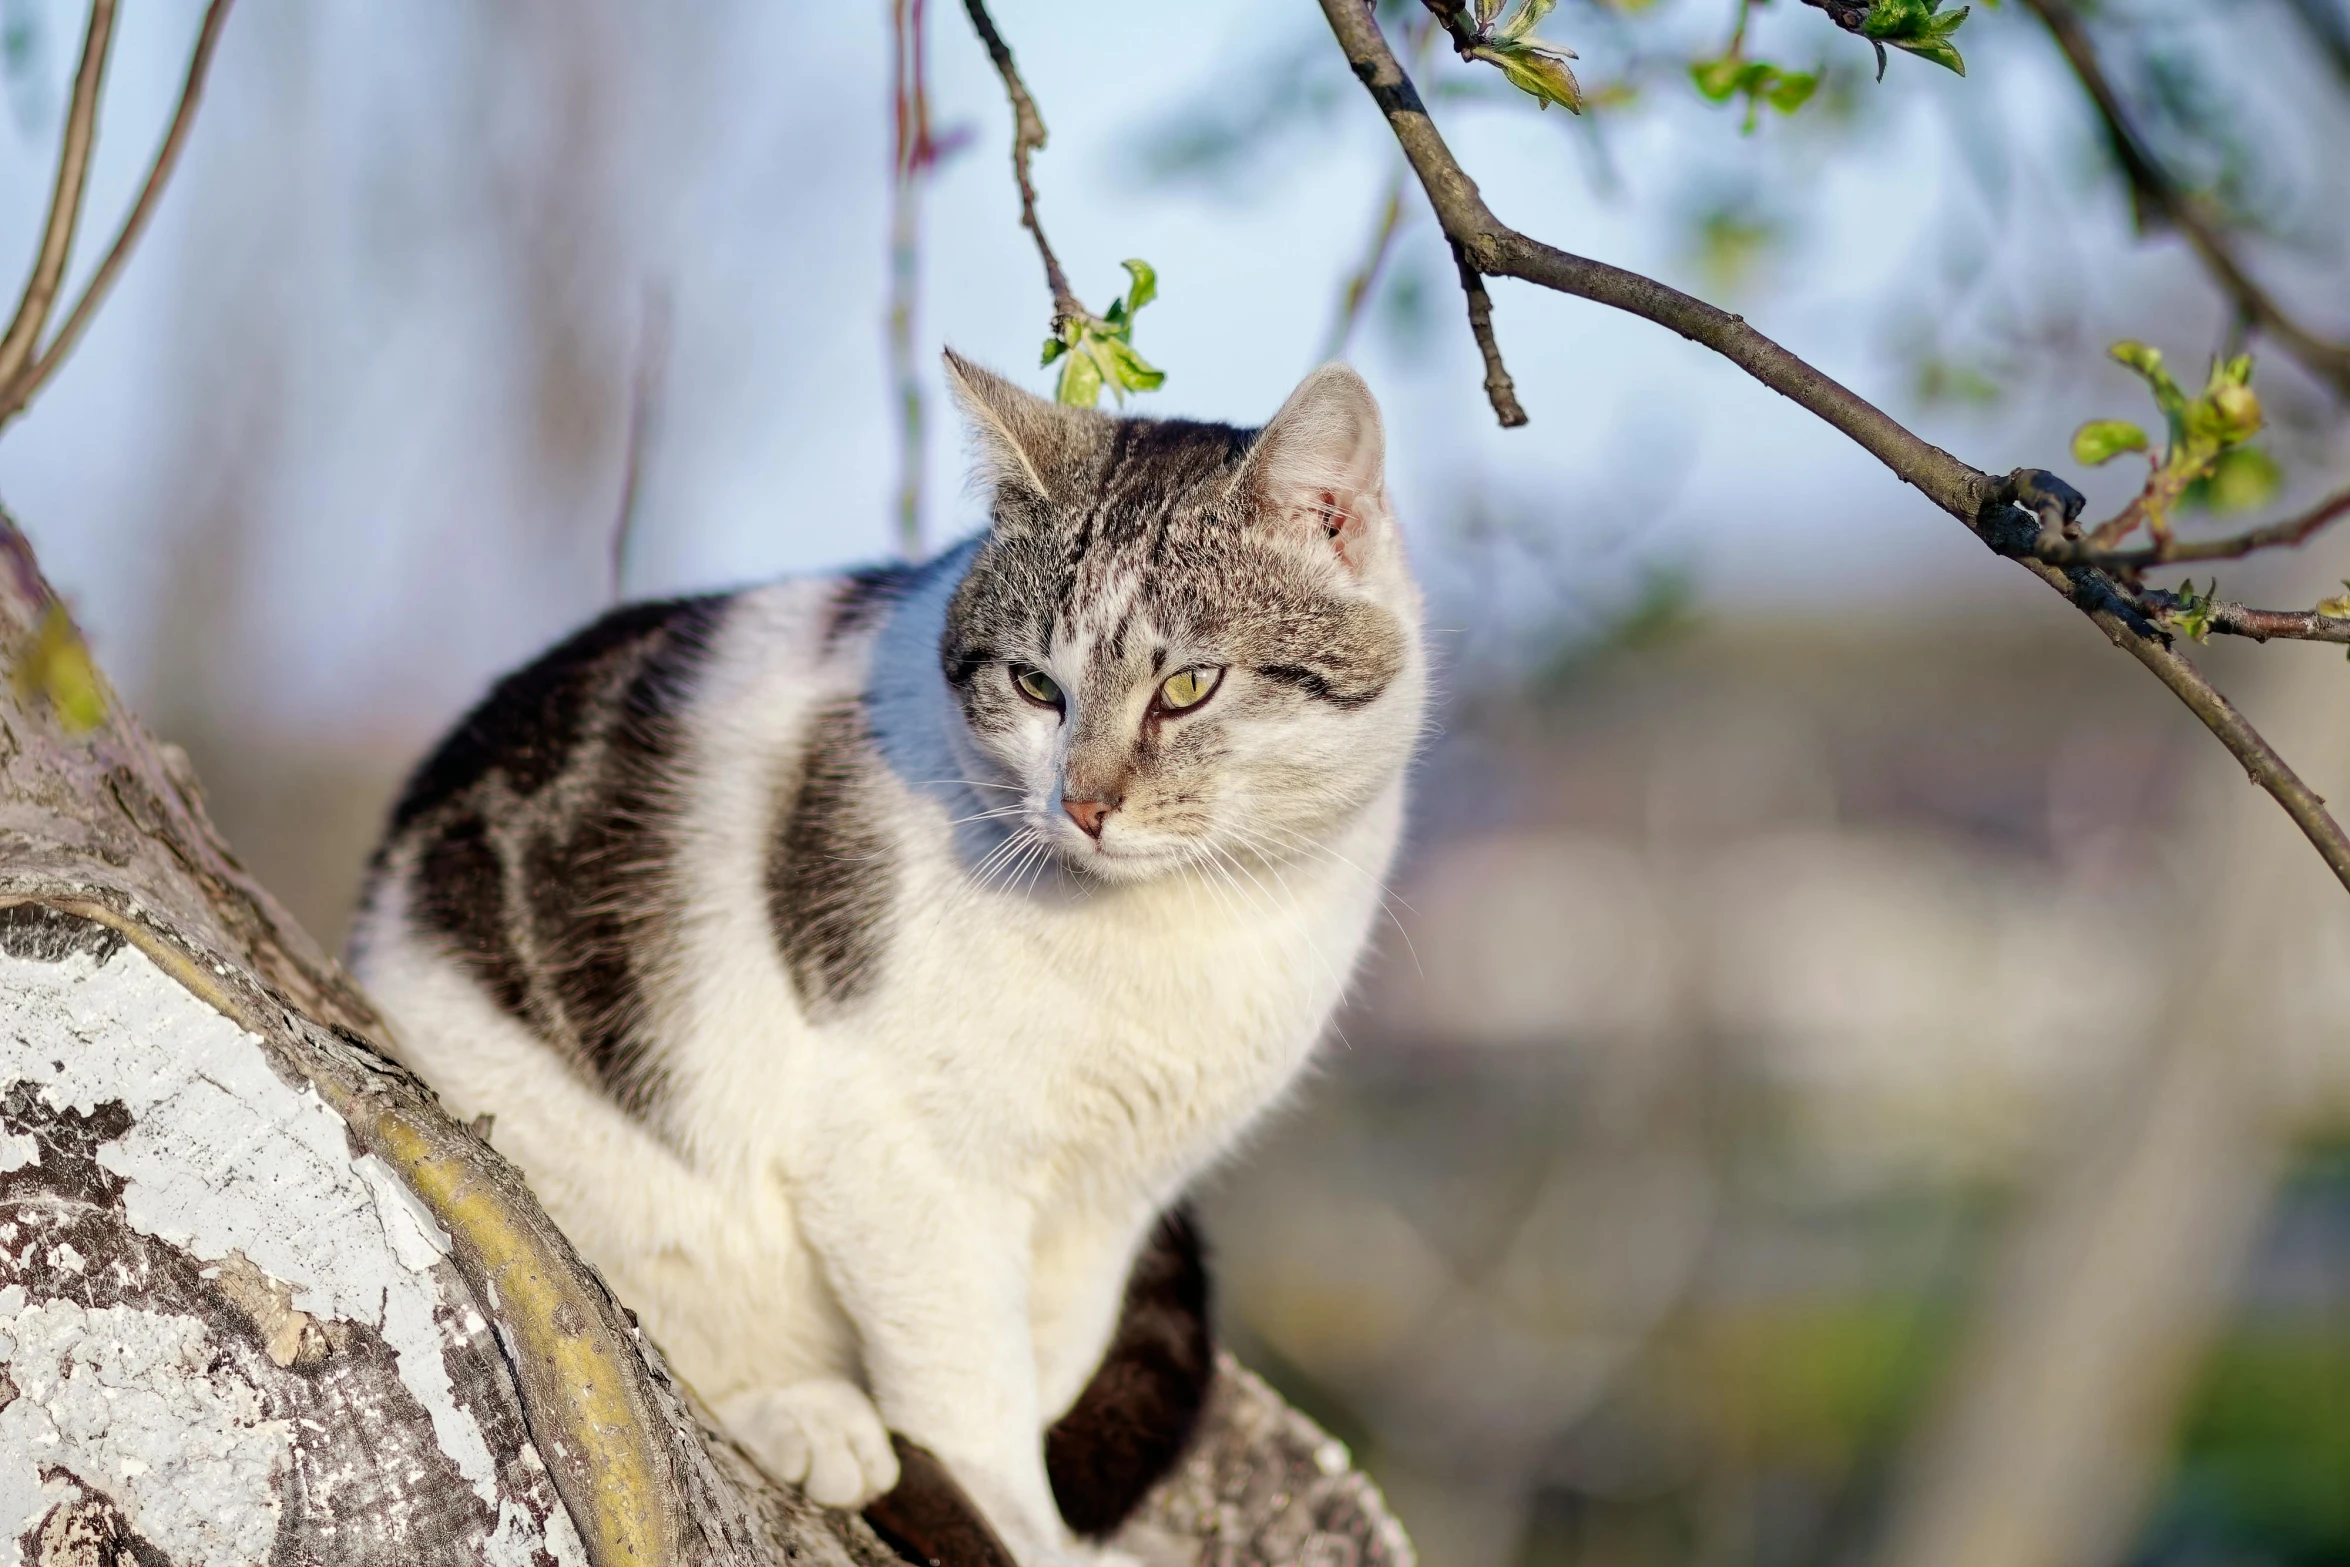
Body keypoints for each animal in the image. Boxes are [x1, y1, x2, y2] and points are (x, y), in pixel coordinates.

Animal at [343, 359, 1410, 1567]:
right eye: (1036, 686)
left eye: (1188, 686)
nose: (1083, 803)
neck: (1186, 924)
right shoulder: (900, 1155)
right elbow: (970, 1394)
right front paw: (1017, 1525)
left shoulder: (1108, 1204)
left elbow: (1048, 1365)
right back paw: (807, 1416)